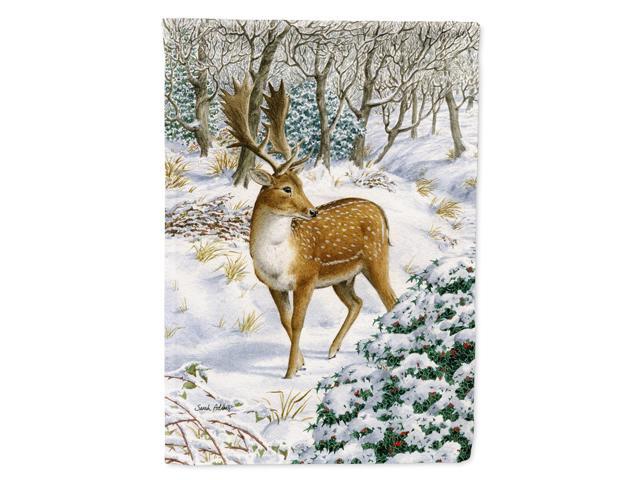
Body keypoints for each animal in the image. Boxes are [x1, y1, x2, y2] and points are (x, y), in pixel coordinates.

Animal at [220, 77, 397, 378]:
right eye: (287, 188)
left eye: (301, 185)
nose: (312, 211)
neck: (278, 258)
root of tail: (380, 211)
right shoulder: (273, 285)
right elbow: (284, 320)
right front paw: (301, 363)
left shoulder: (306, 277)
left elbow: (298, 322)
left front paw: (290, 372)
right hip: (343, 277)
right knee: (358, 302)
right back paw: (333, 349)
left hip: (376, 258)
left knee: (391, 301)